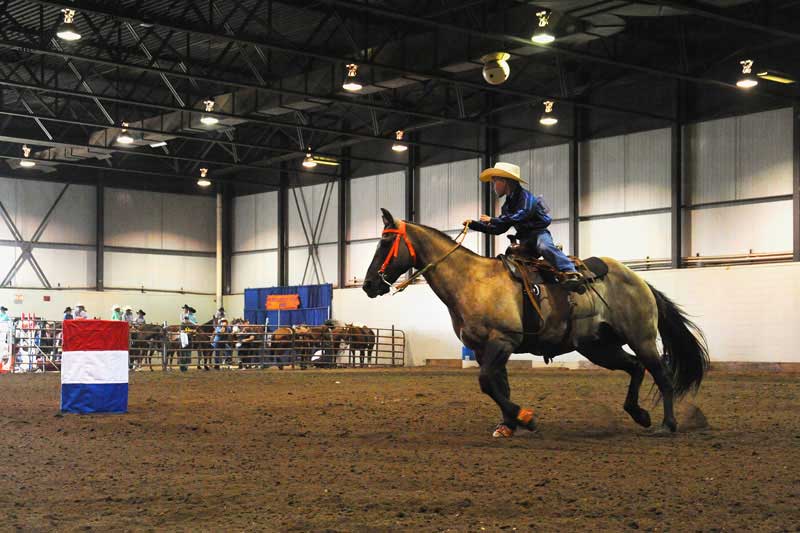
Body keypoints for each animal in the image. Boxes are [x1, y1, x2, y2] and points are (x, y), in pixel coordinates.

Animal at [360, 208, 708, 436]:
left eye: (385, 243)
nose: (368, 285)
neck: (471, 280)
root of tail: (639, 281)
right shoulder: (485, 349)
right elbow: (497, 384)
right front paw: (508, 424)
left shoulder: (503, 341)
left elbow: (487, 381)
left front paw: (524, 417)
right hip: (598, 347)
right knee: (635, 368)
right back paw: (639, 414)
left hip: (642, 339)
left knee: (661, 375)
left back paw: (667, 425)